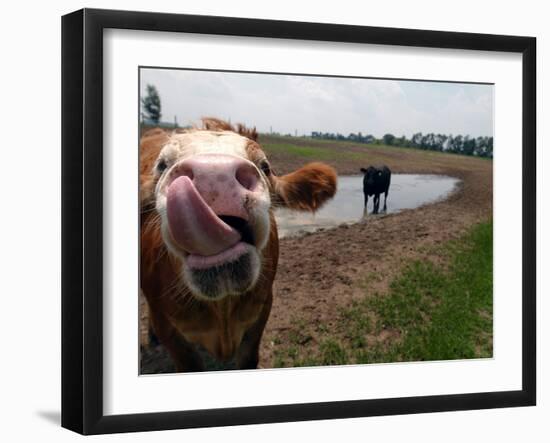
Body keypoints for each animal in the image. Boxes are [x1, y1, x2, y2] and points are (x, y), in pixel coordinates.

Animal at [139, 118, 336, 372]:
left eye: (265, 166)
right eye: (162, 165)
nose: (213, 176)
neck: (222, 309)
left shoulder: (261, 311)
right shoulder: (168, 326)